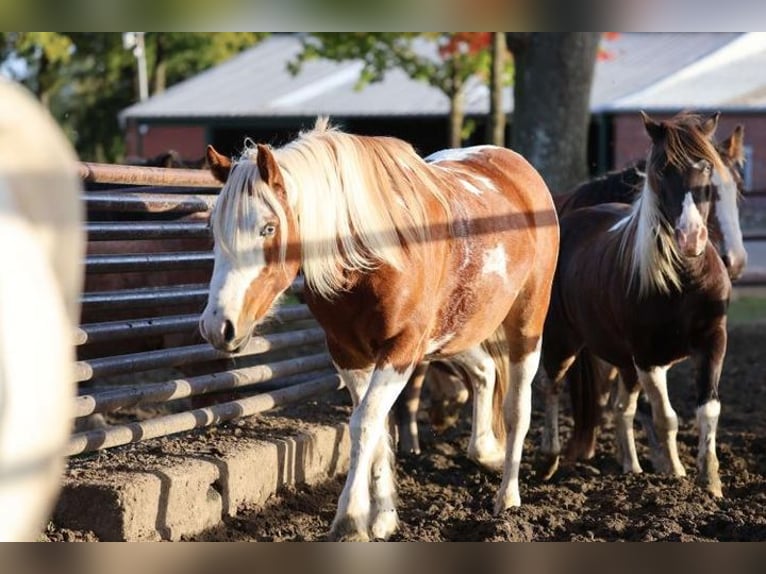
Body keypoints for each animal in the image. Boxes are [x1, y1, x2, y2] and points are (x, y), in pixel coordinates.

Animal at [198, 119, 560, 544]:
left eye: (268, 228)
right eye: (213, 230)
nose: (218, 325)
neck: (371, 255)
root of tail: (515, 166)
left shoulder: (401, 350)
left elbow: (365, 423)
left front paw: (350, 520)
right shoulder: (348, 353)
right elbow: (375, 426)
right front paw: (383, 519)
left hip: (526, 324)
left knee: (517, 407)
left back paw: (508, 499)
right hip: (453, 332)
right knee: (485, 371)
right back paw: (485, 451)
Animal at [544, 112, 736, 500]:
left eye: (707, 167)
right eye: (662, 169)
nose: (691, 237)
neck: (684, 280)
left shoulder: (712, 340)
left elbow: (708, 409)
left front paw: (709, 482)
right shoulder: (649, 358)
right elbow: (666, 418)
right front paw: (676, 473)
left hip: (623, 361)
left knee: (622, 408)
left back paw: (631, 467)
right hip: (562, 342)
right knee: (552, 388)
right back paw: (550, 460)